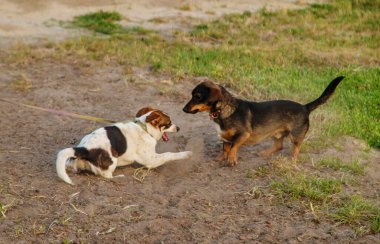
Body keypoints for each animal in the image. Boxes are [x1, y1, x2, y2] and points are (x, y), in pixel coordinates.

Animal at [55, 107, 193, 185]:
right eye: (168, 123)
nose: (178, 128)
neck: (144, 128)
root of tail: (84, 149)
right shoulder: (151, 160)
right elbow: (169, 155)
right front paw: (187, 154)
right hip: (112, 162)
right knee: (106, 176)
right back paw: (120, 177)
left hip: (72, 161)